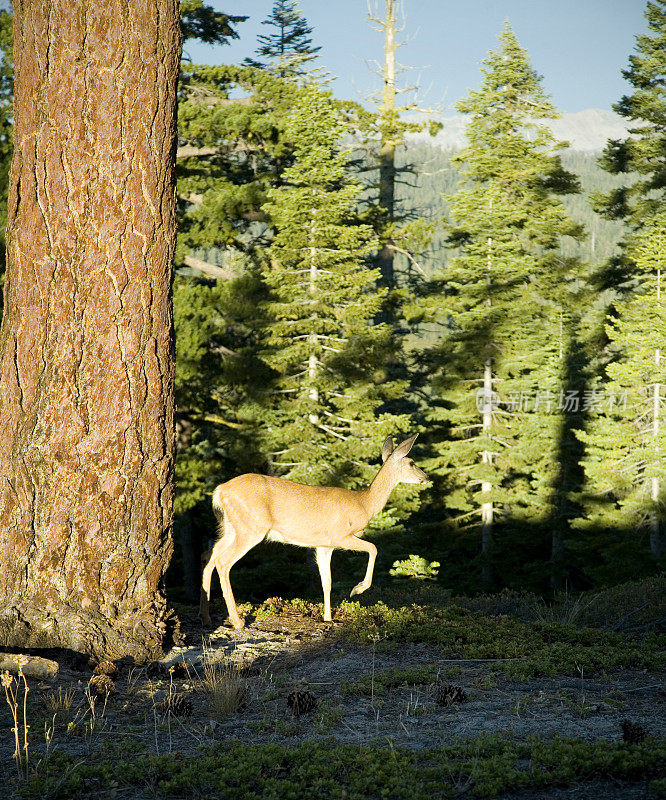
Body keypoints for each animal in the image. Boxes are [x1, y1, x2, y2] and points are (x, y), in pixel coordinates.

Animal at [198, 434, 426, 628]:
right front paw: (357, 589)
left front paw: (327, 618)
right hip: (251, 527)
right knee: (223, 562)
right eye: (411, 462)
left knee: (208, 555)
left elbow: (327, 581)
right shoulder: (340, 536)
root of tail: (219, 491)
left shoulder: (323, 545)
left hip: (230, 527)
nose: (425, 476)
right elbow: (374, 548)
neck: (364, 504)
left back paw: (206, 617)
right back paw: (237, 621)